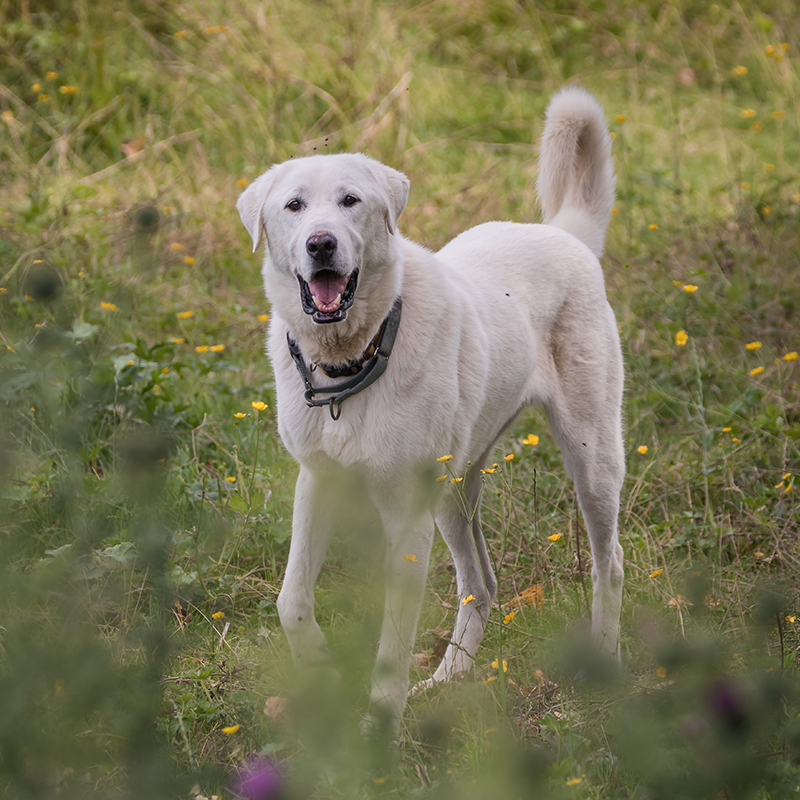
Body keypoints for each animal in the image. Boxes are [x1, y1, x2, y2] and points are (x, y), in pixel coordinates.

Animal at [238, 86, 624, 732]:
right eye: (294, 206)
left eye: (351, 201)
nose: (321, 244)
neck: (353, 363)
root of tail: (565, 234)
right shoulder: (316, 482)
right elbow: (290, 598)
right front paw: (319, 668)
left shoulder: (406, 521)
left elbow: (392, 643)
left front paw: (378, 729)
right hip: (453, 489)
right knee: (482, 583)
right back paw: (449, 677)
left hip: (591, 459)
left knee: (609, 562)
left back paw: (604, 661)